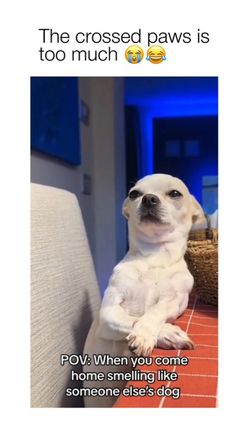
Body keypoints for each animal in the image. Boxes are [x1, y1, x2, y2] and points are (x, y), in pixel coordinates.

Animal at [83, 173, 206, 404]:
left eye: (175, 193)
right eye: (134, 194)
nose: (149, 198)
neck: (154, 256)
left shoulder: (174, 301)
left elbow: (154, 312)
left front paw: (149, 332)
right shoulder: (108, 314)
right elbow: (130, 319)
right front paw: (165, 334)